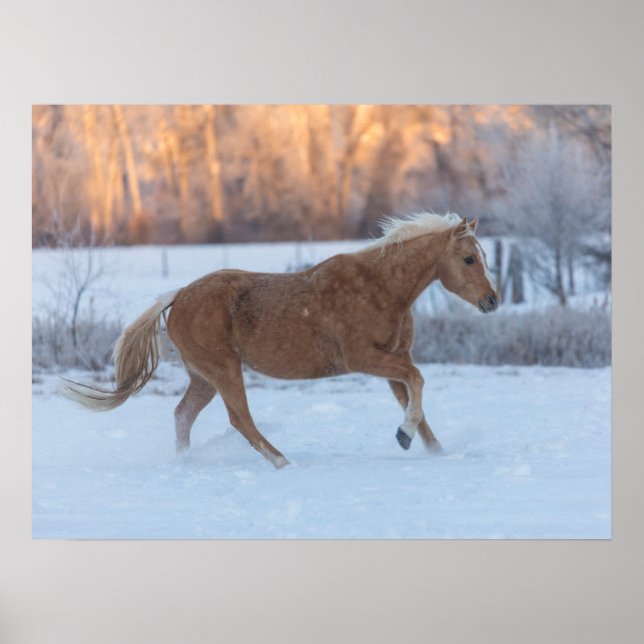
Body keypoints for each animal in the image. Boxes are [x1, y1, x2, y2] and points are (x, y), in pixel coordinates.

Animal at [62, 213, 499, 468]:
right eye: (468, 259)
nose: (492, 300)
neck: (381, 288)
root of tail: (179, 295)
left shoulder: (392, 362)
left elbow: (417, 402)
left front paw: (432, 450)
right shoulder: (363, 358)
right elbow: (419, 381)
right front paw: (403, 435)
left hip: (203, 377)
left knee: (183, 415)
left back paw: (186, 462)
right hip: (224, 369)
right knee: (240, 419)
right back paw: (282, 462)